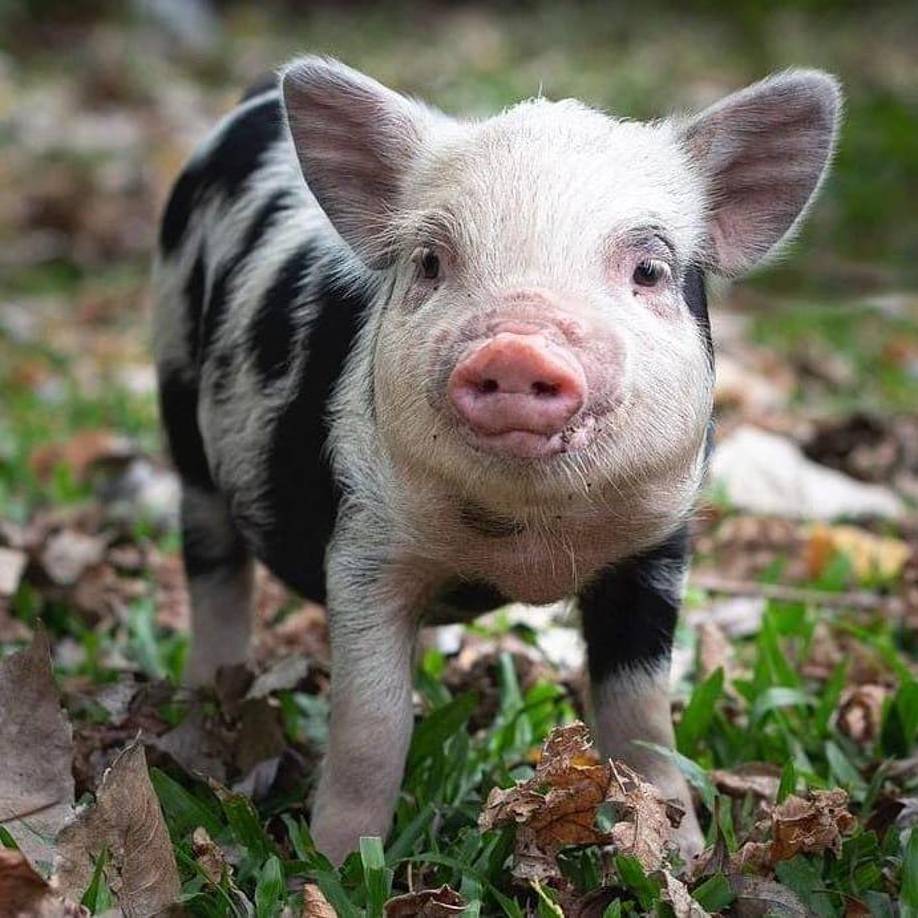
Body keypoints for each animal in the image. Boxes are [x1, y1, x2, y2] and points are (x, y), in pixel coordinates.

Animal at [152, 57, 841, 864]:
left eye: (648, 269)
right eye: (429, 261)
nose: (517, 346)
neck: (527, 542)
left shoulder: (657, 544)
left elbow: (640, 713)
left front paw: (681, 854)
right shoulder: (365, 542)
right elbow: (372, 724)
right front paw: (337, 863)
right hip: (178, 387)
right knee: (212, 565)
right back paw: (202, 705)